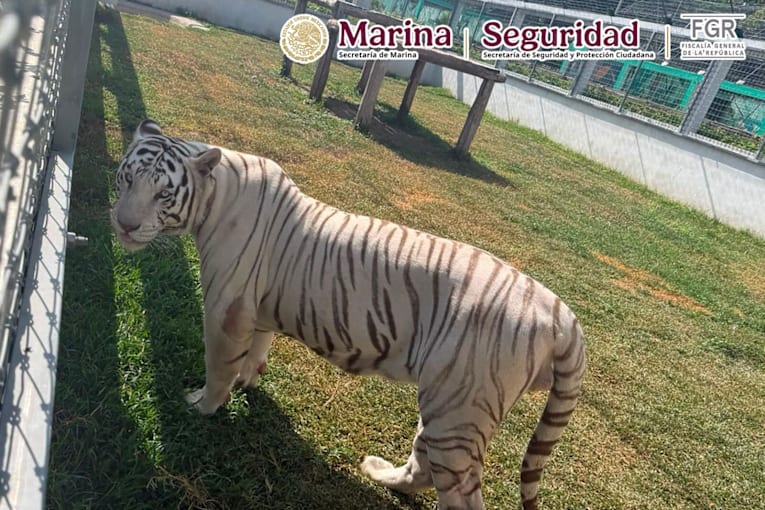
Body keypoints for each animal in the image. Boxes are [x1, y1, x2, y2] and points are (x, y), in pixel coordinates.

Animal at [111, 119, 586, 510]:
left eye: (163, 193)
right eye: (127, 178)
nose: (124, 225)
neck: (215, 196)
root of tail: (562, 315)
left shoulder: (226, 309)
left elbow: (219, 367)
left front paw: (202, 405)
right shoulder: (258, 308)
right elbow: (257, 351)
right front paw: (250, 381)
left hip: (460, 409)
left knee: (458, 492)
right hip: (447, 403)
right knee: (423, 464)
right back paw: (380, 473)